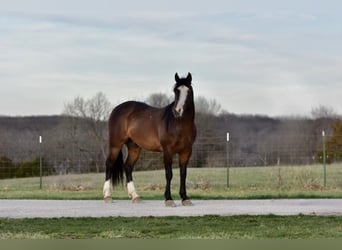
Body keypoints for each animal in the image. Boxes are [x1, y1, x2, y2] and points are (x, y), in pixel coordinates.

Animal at [103, 73, 196, 207]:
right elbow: (169, 174)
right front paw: (168, 199)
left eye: (188, 91)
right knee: (109, 164)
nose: (177, 111)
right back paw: (107, 196)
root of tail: (116, 109)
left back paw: (135, 196)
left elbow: (183, 174)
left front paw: (185, 198)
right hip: (115, 145)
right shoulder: (168, 151)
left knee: (128, 167)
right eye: (176, 91)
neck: (179, 124)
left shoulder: (186, 151)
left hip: (134, 147)